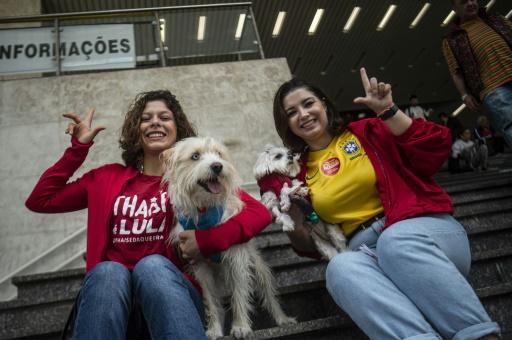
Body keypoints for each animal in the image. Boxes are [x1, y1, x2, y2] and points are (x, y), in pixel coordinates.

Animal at [162, 137, 294, 338]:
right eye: (195, 156)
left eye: (219, 154)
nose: (217, 166)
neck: (205, 209)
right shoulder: (200, 266)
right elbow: (211, 301)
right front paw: (215, 329)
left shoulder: (236, 259)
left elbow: (238, 294)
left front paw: (240, 327)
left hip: (258, 270)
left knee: (269, 296)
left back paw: (282, 319)